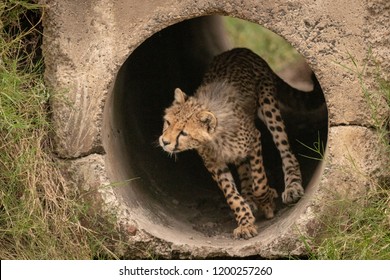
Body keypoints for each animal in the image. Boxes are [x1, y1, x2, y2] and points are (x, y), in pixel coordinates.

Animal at [158, 47, 320, 238]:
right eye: (168, 122)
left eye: (183, 133)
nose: (164, 141)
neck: (216, 138)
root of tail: (238, 49)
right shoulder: (214, 163)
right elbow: (231, 195)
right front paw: (245, 222)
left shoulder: (254, 141)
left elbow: (259, 181)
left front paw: (267, 203)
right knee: (244, 169)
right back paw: (249, 198)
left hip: (268, 107)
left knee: (285, 149)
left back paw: (292, 186)